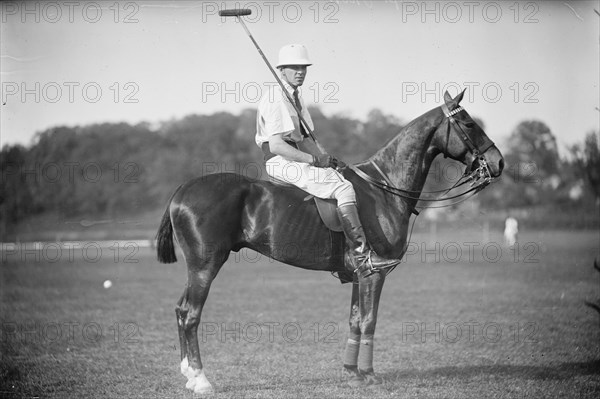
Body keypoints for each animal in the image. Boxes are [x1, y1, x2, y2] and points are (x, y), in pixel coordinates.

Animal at [157, 90, 504, 394]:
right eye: (469, 123)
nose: (499, 163)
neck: (385, 189)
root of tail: (181, 191)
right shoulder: (376, 273)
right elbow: (369, 320)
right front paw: (369, 374)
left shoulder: (359, 275)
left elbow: (354, 319)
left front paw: (352, 372)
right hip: (206, 263)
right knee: (190, 313)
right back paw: (201, 380)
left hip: (198, 266)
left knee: (179, 309)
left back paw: (189, 374)